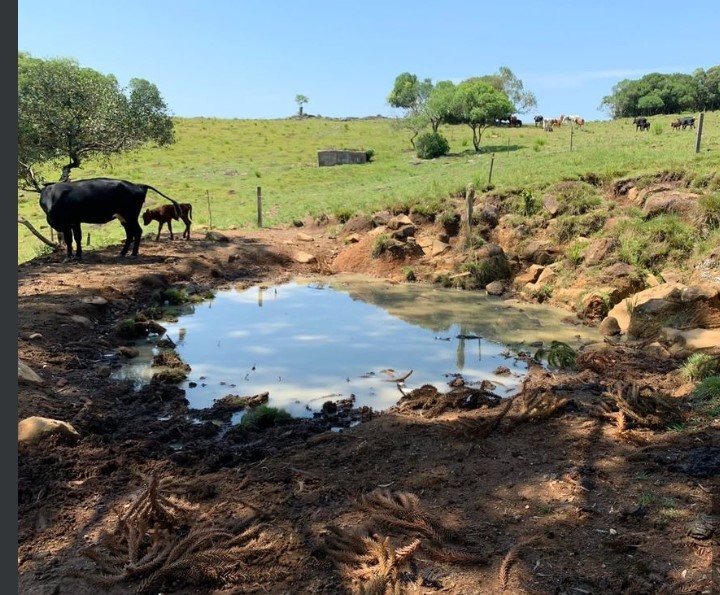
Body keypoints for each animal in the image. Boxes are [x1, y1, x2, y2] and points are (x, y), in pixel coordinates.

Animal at [39, 178, 181, 260]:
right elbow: (78, 238)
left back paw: (133, 253)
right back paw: (123, 253)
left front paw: (69, 257)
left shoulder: (66, 223)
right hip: (123, 218)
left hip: (130, 216)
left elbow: (69, 240)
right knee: (130, 233)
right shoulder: (76, 221)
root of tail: (138, 185)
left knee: (137, 232)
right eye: (42, 201)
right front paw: (78, 255)